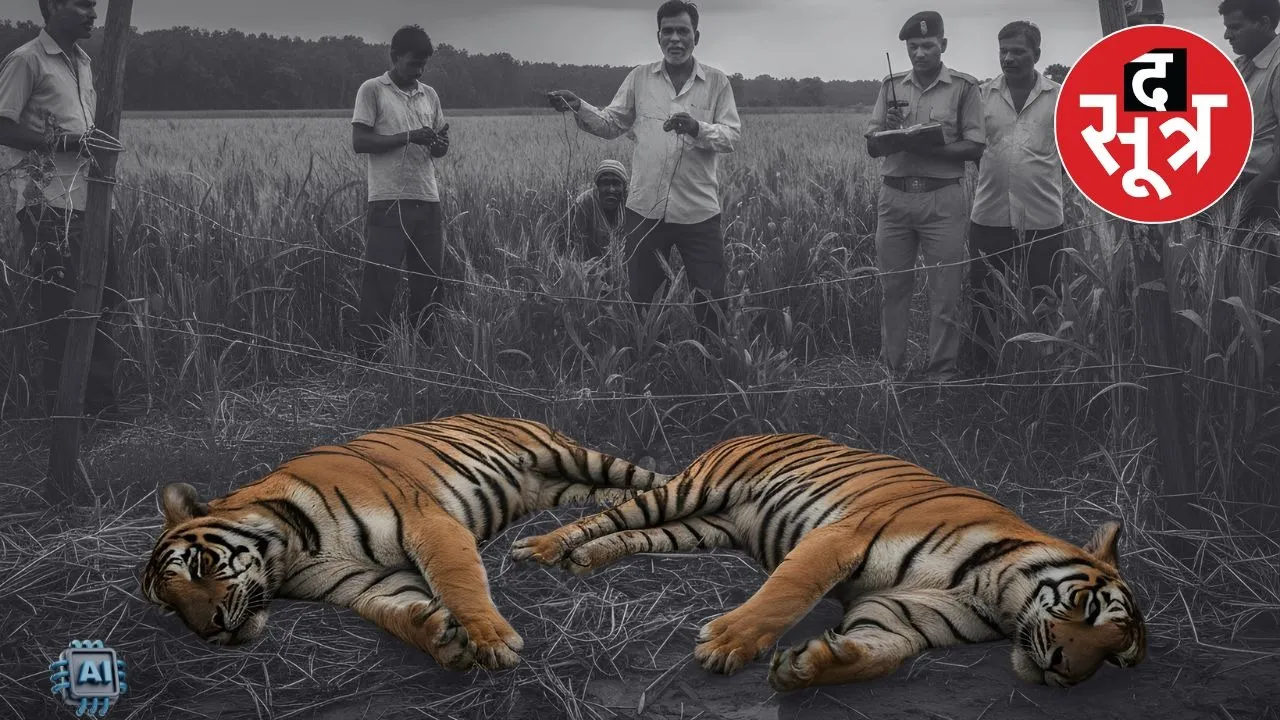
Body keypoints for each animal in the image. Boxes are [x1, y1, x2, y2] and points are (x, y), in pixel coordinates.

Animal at [140, 413, 673, 672]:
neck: (292, 556)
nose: (208, 632)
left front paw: (491, 640)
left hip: (569, 455)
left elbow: (459, 584)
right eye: (167, 608)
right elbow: (394, 613)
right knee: (623, 498)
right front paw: (441, 639)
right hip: (564, 489)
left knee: (656, 480)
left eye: (196, 566)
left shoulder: (428, 523)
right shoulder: (363, 584)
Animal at [511, 432, 1147, 691]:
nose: (1066, 672)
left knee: (634, 536)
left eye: (1117, 660)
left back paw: (586, 560)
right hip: (692, 492)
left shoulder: (902, 614)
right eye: (1089, 609)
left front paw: (808, 667)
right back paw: (542, 549)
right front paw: (727, 644)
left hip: (699, 529)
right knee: (608, 514)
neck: (994, 595)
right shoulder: (841, 538)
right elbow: (785, 594)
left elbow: (879, 655)